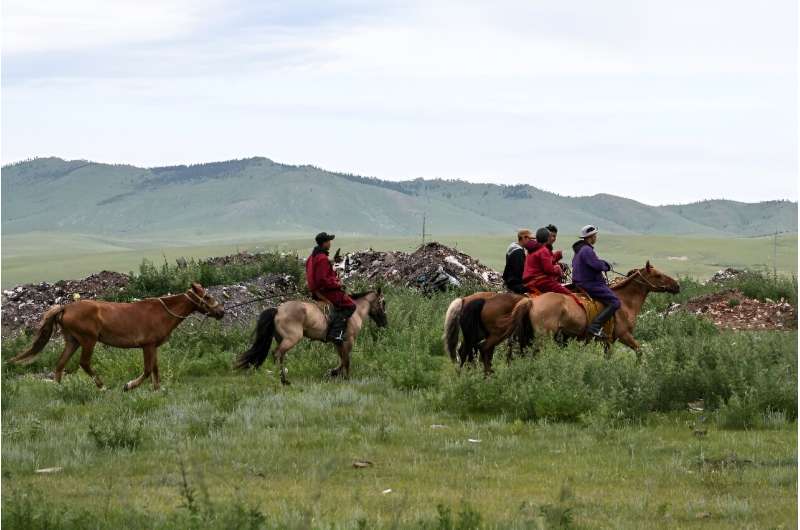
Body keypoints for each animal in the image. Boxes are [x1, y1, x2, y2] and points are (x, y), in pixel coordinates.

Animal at [7, 282, 223, 390]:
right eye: (208, 297)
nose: (221, 312)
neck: (162, 312)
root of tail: (65, 307)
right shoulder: (148, 345)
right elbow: (147, 370)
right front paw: (129, 386)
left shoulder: (153, 347)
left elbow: (155, 369)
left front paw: (157, 389)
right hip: (88, 340)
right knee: (84, 363)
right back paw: (102, 387)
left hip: (72, 341)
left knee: (60, 364)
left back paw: (59, 390)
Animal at [234, 288, 388, 384]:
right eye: (383, 302)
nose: (385, 323)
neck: (356, 311)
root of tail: (277, 309)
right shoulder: (348, 340)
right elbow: (346, 360)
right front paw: (346, 377)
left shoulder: (338, 342)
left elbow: (342, 359)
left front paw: (333, 373)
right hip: (292, 339)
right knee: (277, 354)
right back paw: (281, 379)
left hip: (281, 339)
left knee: (280, 355)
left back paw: (283, 378)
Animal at [512, 260, 680, 354]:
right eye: (658, 275)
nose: (677, 286)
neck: (625, 302)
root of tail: (532, 301)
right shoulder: (623, 335)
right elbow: (639, 351)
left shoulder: (608, 342)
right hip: (544, 337)